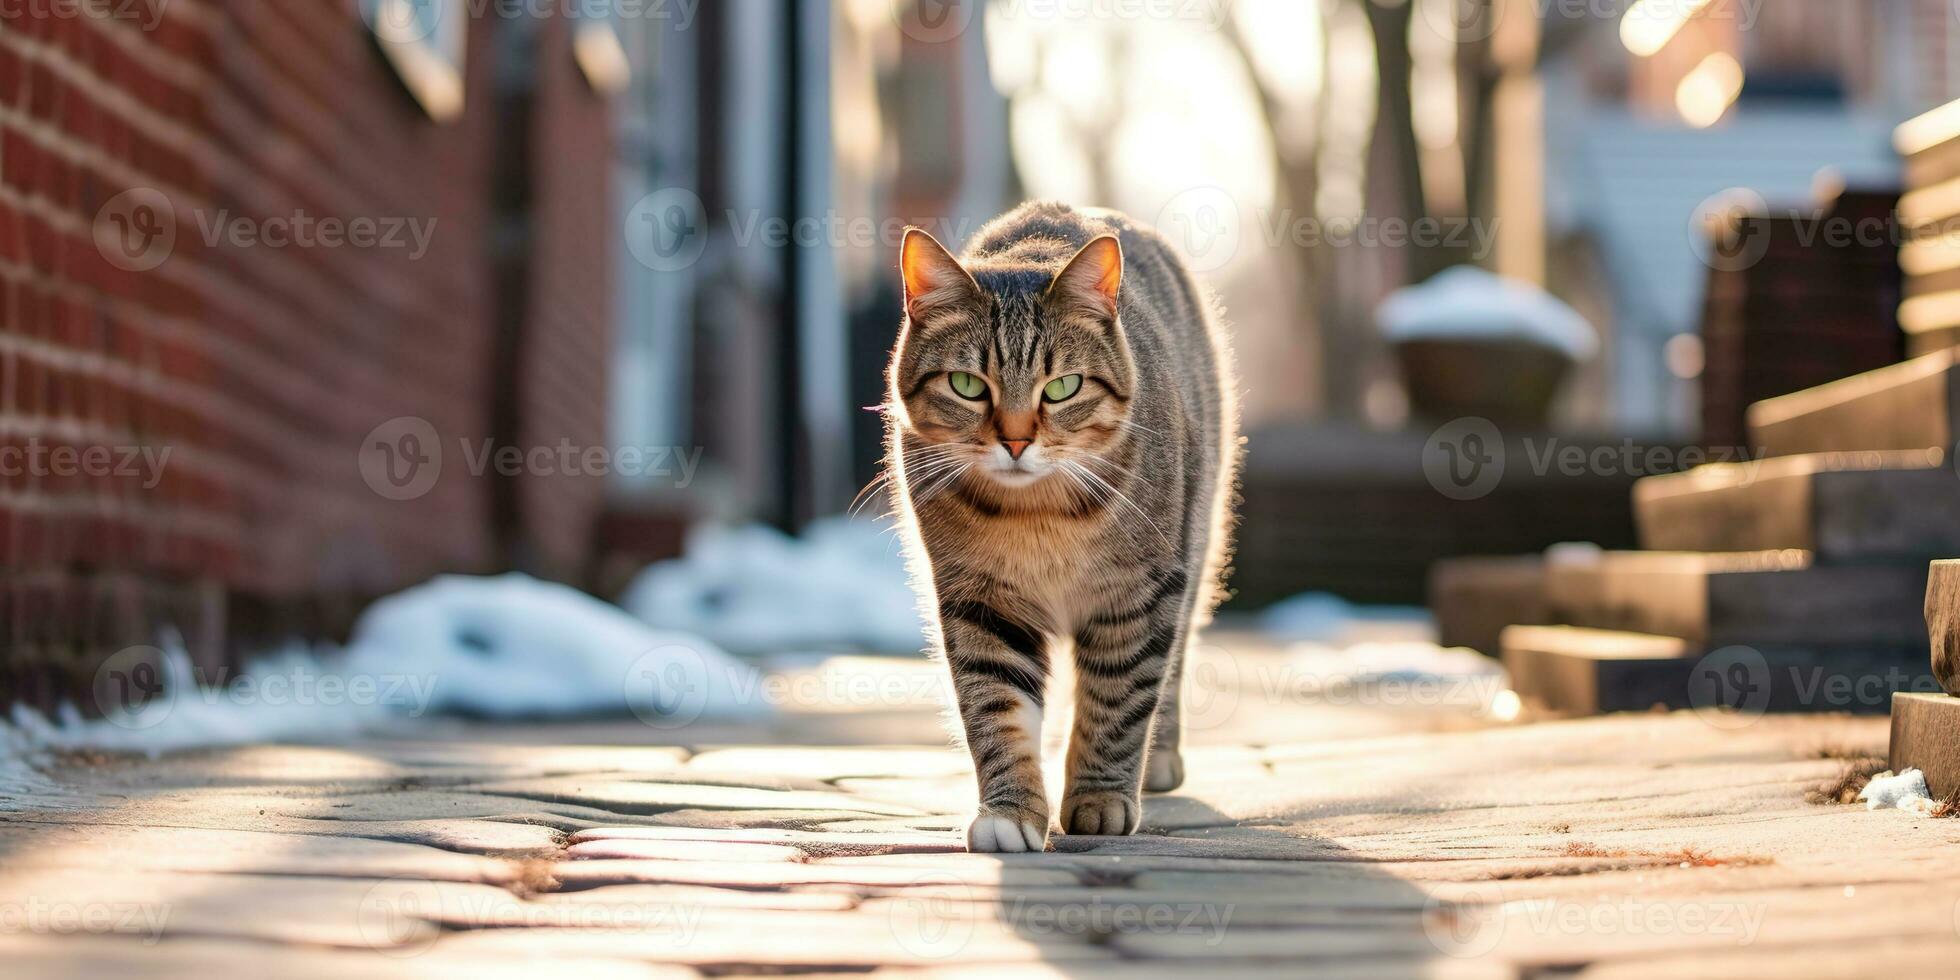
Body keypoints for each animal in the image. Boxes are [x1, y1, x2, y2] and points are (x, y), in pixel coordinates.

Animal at [889, 200, 1238, 850]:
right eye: (967, 385)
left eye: (1062, 388)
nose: (1016, 441)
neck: (1038, 516)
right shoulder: (982, 602)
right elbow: (997, 708)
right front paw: (1011, 812)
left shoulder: (1139, 593)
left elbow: (1118, 699)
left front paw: (1100, 797)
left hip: (1195, 538)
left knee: (1171, 664)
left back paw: (1157, 761)